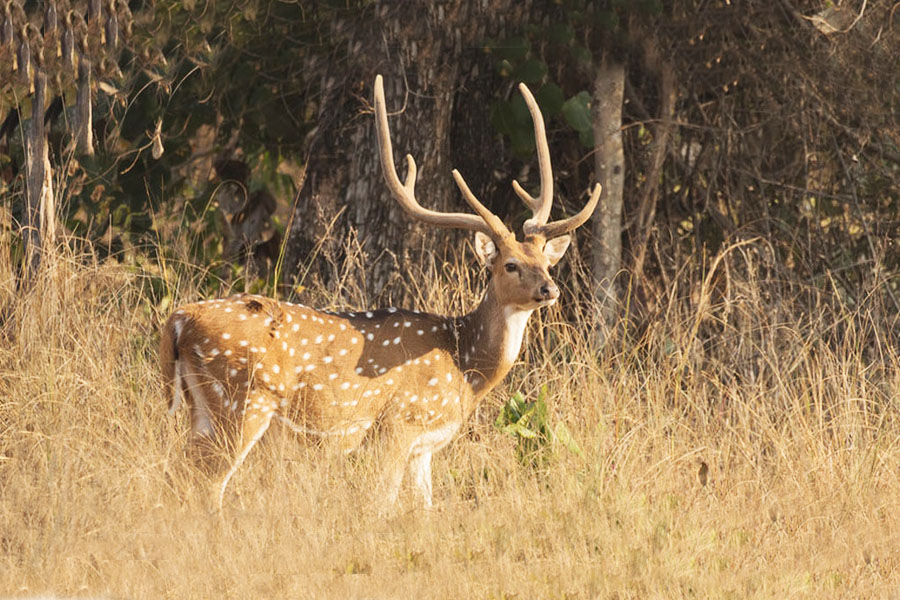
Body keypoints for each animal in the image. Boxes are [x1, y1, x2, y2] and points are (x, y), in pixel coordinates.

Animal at [159, 72, 600, 508]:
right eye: (510, 265)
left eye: (546, 261)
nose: (550, 289)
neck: (464, 367)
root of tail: (179, 320)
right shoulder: (397, 424)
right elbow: (383, 502)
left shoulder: (423, 447)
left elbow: (425, 509)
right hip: (242, 399)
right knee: (207, 483)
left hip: (201, 407)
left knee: (180, 475)